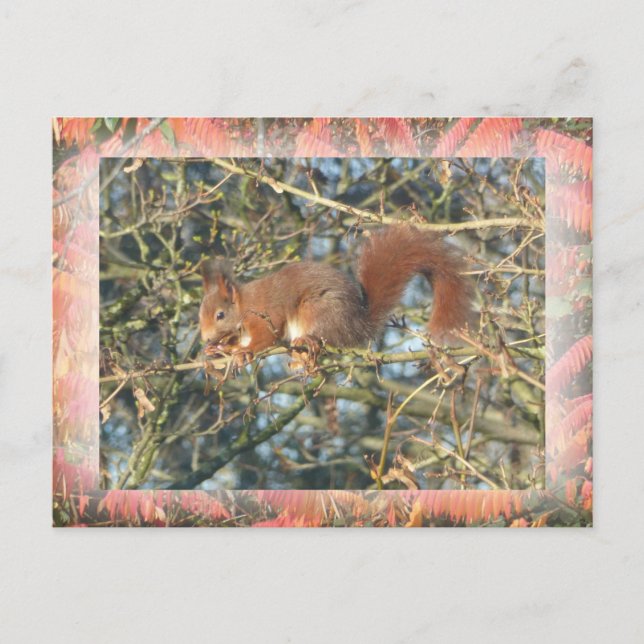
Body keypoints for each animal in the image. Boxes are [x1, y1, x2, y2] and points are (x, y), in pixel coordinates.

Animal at [199, 224, 473, 369]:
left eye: (220, 315)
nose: (205, 338)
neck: (243, 306)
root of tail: (357, 325)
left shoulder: (263, 315)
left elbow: (266, 337)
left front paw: (244, 352)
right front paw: (217, 350)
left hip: (317, 309)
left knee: (323, 335)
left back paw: (308, 342)